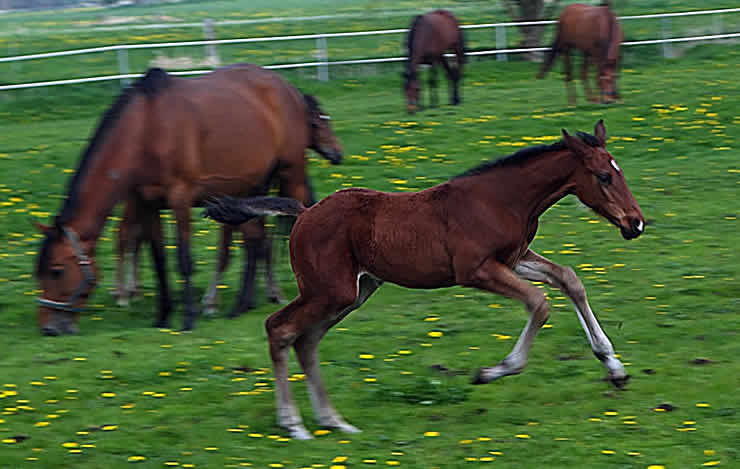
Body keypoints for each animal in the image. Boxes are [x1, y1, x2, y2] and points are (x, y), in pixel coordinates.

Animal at [34, 62, 342, 334]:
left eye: (57, 270)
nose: (49, 328)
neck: (147, 127)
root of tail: (287, 88)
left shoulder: (180, 197)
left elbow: (183, 258)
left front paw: (188, 319)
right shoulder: (147, 203)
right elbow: (158, 258)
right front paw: (163, 315)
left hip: (291, 177)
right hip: (252, 187)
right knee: (255, 239)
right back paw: (240, 306)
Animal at [205, 119, 644, 438]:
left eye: (619, 172)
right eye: (604, 176)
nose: (635, 223)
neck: (502, 198)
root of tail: (304, 213)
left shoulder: (514, 258)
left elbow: (569, 279)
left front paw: (615, 368)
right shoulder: (475, 269)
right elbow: (539, 303)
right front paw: (492, 372)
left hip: (352, 292)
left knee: (306, 341)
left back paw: (334, 421)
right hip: (329, 291)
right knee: (280, 329)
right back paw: (294, 424)